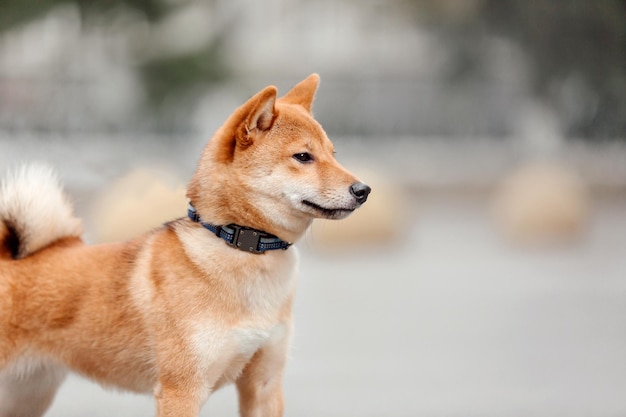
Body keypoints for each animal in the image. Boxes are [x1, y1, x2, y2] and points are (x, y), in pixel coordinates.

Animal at [0, 75, 368, 416]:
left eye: (333, 154)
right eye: (303, 156)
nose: (363, 190)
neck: (241, 246)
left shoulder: (264, 383)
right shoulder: (183, 390)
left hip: (28, 395)